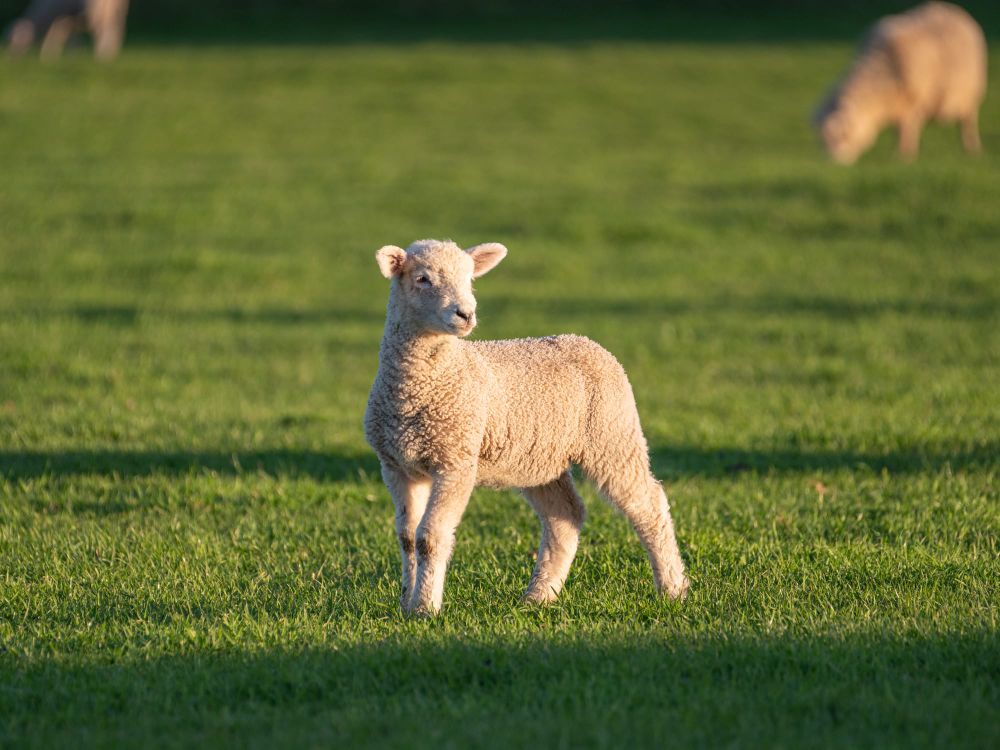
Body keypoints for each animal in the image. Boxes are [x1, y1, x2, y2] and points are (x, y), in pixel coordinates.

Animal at [364, 239, 689, 616]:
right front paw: (406, 603)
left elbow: (429, 537)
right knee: (566, 516)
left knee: (649, 505)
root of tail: (587, 341)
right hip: (541, 459)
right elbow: (406, 538)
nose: (466, 314)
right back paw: (539, 596)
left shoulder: (455, 459)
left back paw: (673, 588)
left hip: (612, 433)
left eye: (470, 278)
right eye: (422, 279)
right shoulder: (396, 465)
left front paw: (425, 608)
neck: (420, 386)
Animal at [814, 2, 987, 164]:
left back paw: (971, 149)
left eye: (843, 135)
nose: (832, 163)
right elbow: (900, 131)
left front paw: (903, 158)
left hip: (971, 95)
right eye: (823, 140)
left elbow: (906, 131)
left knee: (968, 122)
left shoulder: (914, 104)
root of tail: (949, 7)